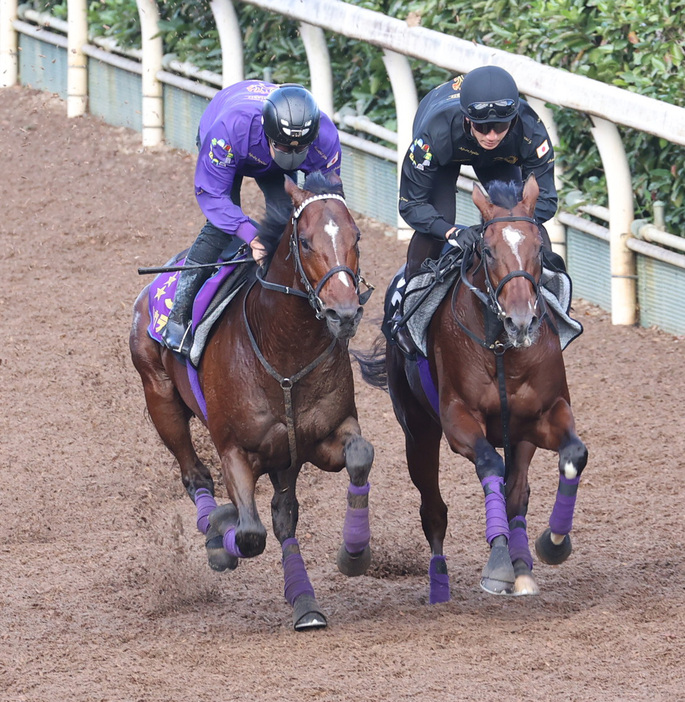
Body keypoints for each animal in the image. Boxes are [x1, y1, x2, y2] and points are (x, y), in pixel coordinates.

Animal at [128, 172, 374, 632]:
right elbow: (249, 535)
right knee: (196, 475)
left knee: (283, 514)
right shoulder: (236, 451)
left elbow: (359, 456)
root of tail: (153, 287)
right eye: (306, 241)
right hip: (160, 398)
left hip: (283, 460)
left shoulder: (321, 438)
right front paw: (221, 537)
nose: (344, 313)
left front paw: (354, 554)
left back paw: (305, 602)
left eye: (357, 236)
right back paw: (213, 527)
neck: (284, 354)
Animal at [356, 173, 584, 604]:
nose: (521, 320)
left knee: (517, 492)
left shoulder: (544, 415)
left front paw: (552, 543)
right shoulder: (457, 420)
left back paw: (523, 566)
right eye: (489, 252)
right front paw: (498, 567)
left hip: (519, 437)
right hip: (418, 434)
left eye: (538, 248)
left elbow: (573, 455)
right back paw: (439, 586)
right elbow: (488, 465)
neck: (502, 349)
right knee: (433, 510)